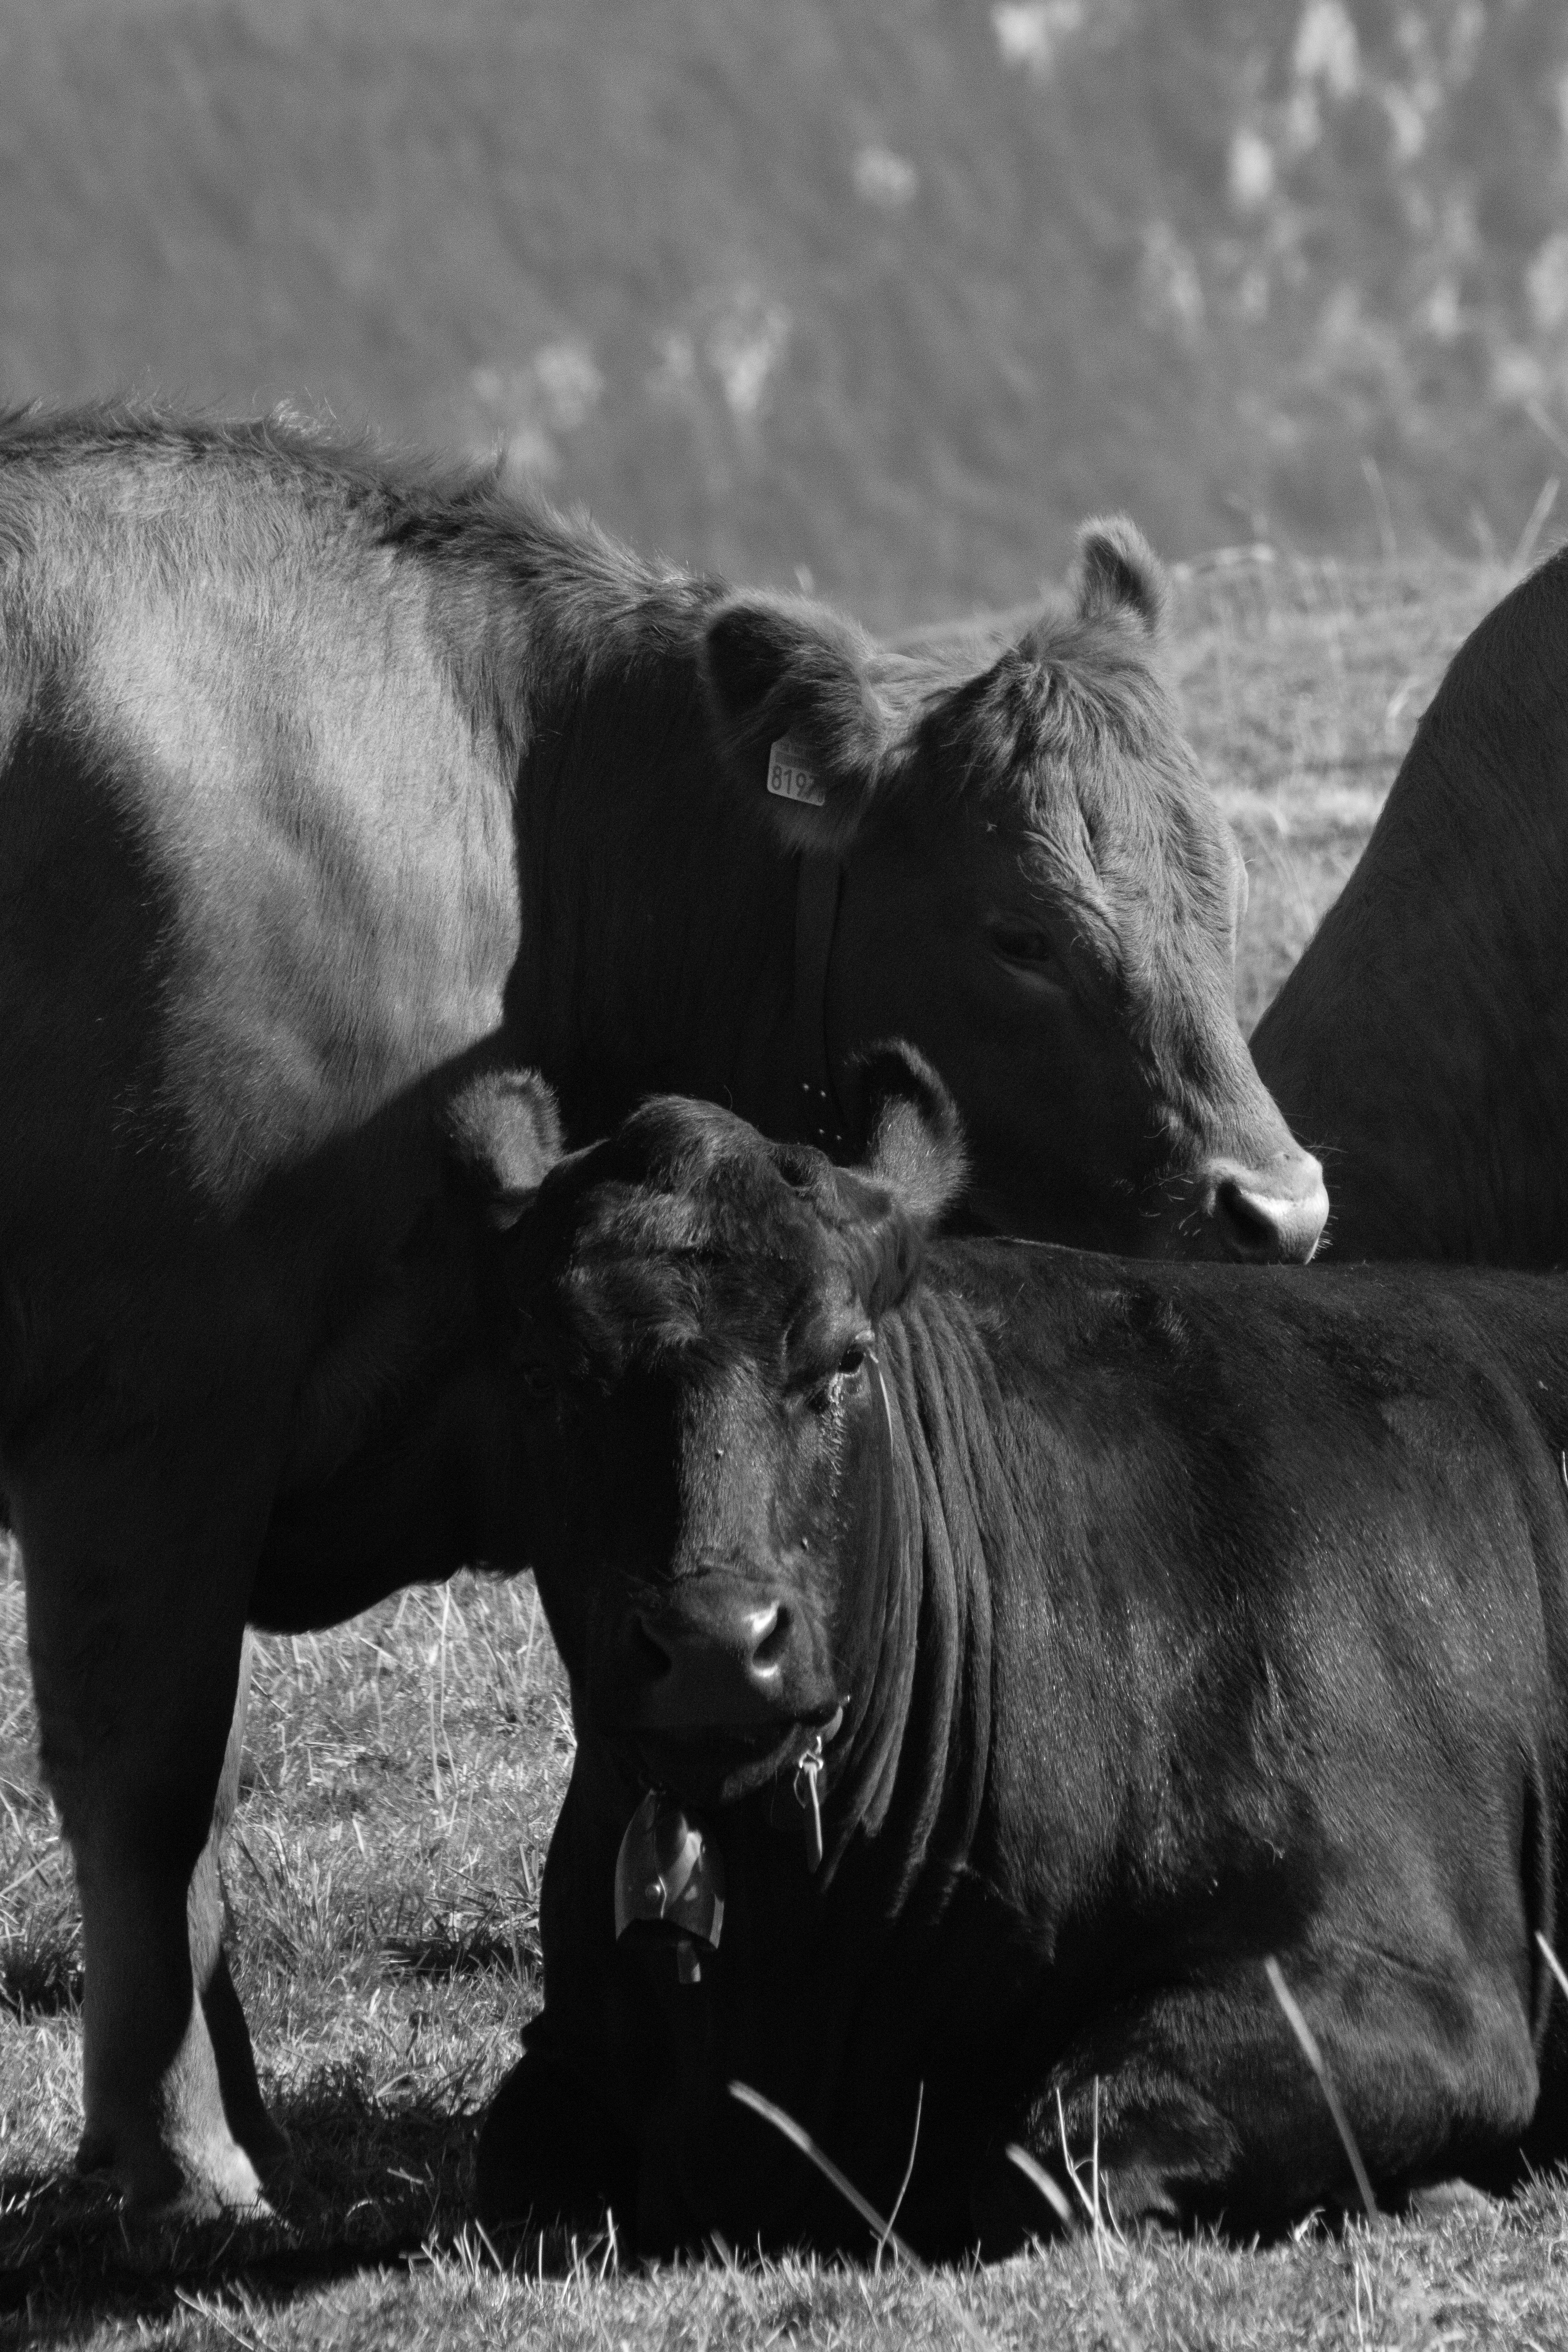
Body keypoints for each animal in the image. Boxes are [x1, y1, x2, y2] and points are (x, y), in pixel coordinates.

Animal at [0, 401, 1323, 2220]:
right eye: (1019, 934)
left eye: (1220, 891)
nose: (1281, 1207)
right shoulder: (149, 1408)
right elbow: (153, 1793)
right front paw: (187, 2164)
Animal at [470, 1051, 1568, 2255]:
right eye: (541, 1376)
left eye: (845, 1361)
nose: (716, 1641)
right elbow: (507, 2157)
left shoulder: (1416, 1984)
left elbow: (1058, 2151)